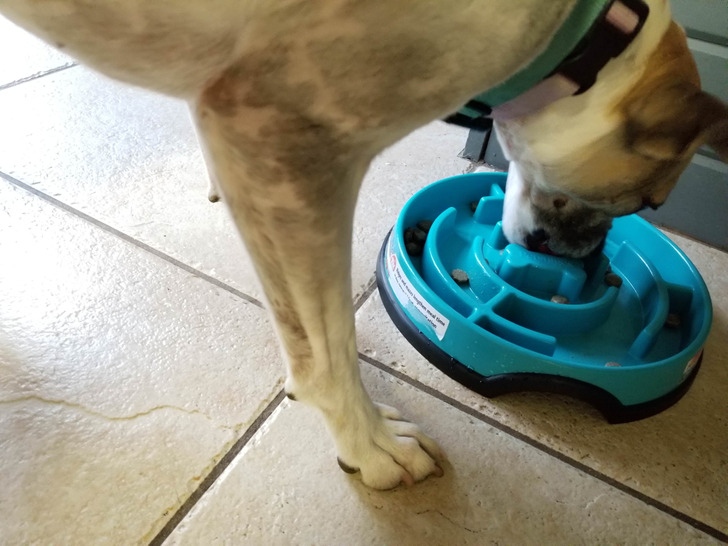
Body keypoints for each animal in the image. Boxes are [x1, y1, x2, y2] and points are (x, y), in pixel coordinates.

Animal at [2, 0, 724, 486]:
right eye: (649, 202)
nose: (591, 264)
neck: (583, 46)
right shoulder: (277, 137)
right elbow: (326, 350)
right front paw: (371, 443)